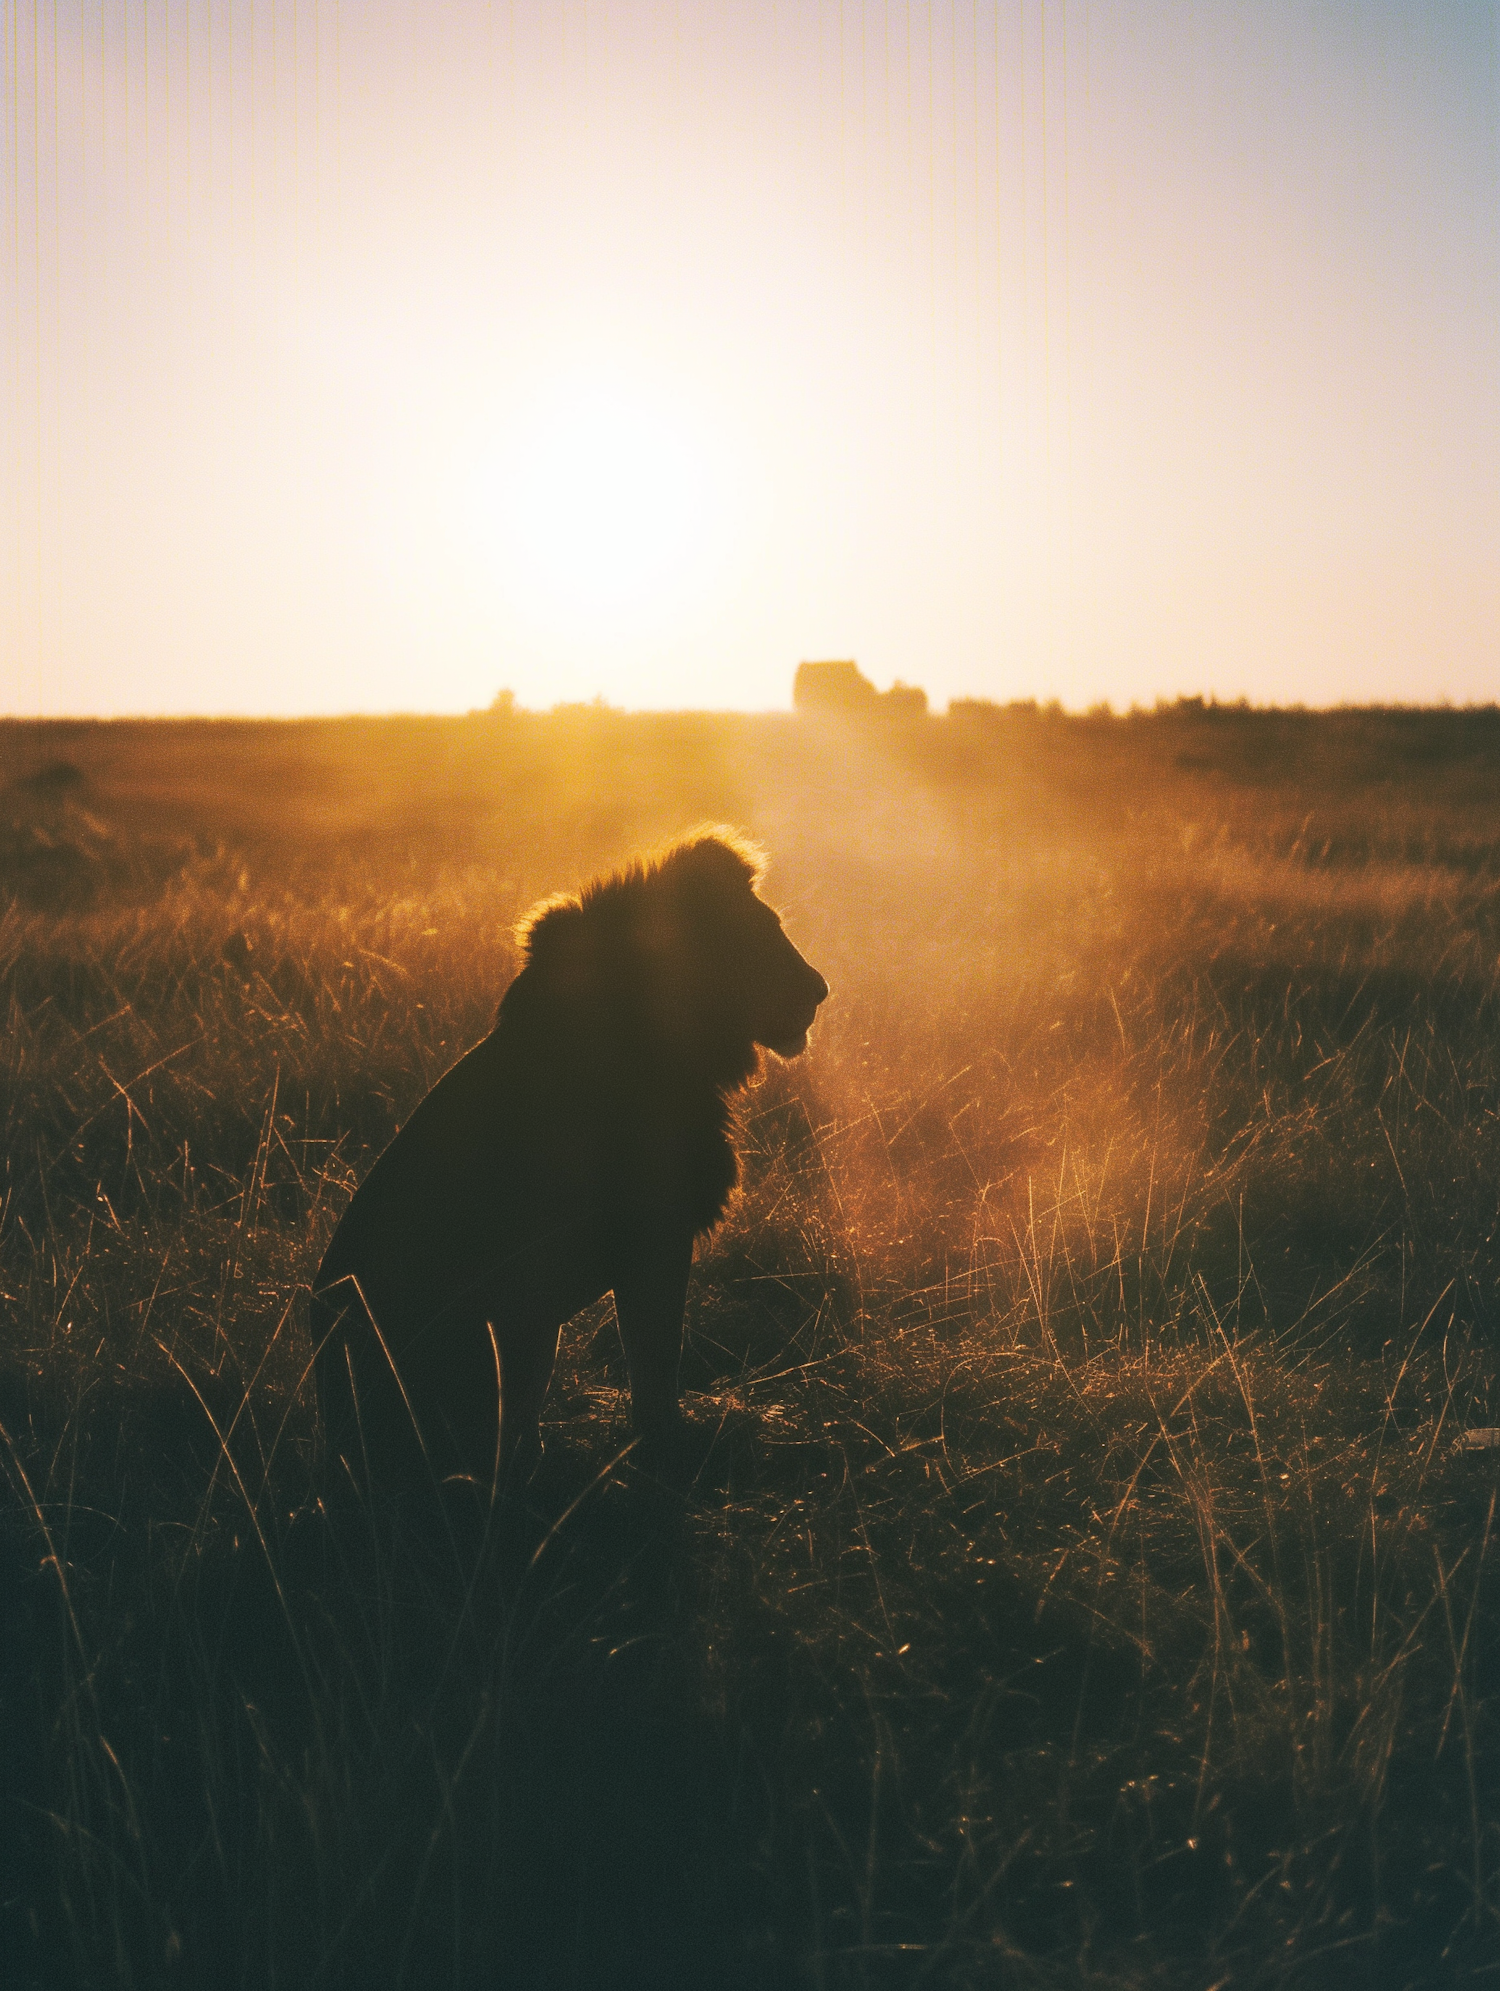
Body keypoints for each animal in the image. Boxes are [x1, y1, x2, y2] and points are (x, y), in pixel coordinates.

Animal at [310, 824, 832, 1497]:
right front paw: (670, 1449)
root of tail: (333, 1442)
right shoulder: (653, 1239)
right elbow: (655, 1360)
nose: (821, 990)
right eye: (755, 936)